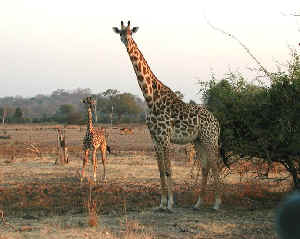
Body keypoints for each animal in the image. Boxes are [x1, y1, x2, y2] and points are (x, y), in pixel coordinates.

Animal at [113, 20, 225, 211]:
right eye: (120, 32)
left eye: (131, 32)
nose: (125, 41)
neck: (151, 99)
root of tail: (216, 121)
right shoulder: (155, 138)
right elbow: (160, 171)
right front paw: (161, 203)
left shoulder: (165, 137)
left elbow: (168, 170)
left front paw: (171, 204)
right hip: (198, 141)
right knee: (205, 167)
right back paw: (198, 203)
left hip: (210, 139)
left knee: (215, 165)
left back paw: (217, 204)